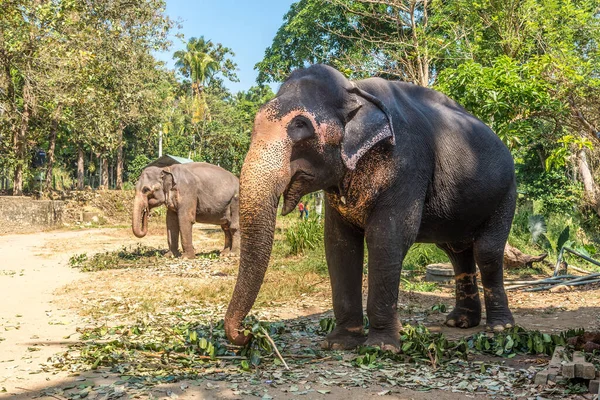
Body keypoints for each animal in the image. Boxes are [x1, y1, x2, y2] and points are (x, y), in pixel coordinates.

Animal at [225, 64, 516, 352]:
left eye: (301, 125)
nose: (247, 334)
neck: (356, 90)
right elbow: (339, 243)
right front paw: (339, 343)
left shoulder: (407, 165)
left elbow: (387, 237)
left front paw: (381, 347)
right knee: (457, 252)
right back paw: (460, 322)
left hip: (506, 193)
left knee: (486, 251)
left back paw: (500, 328)